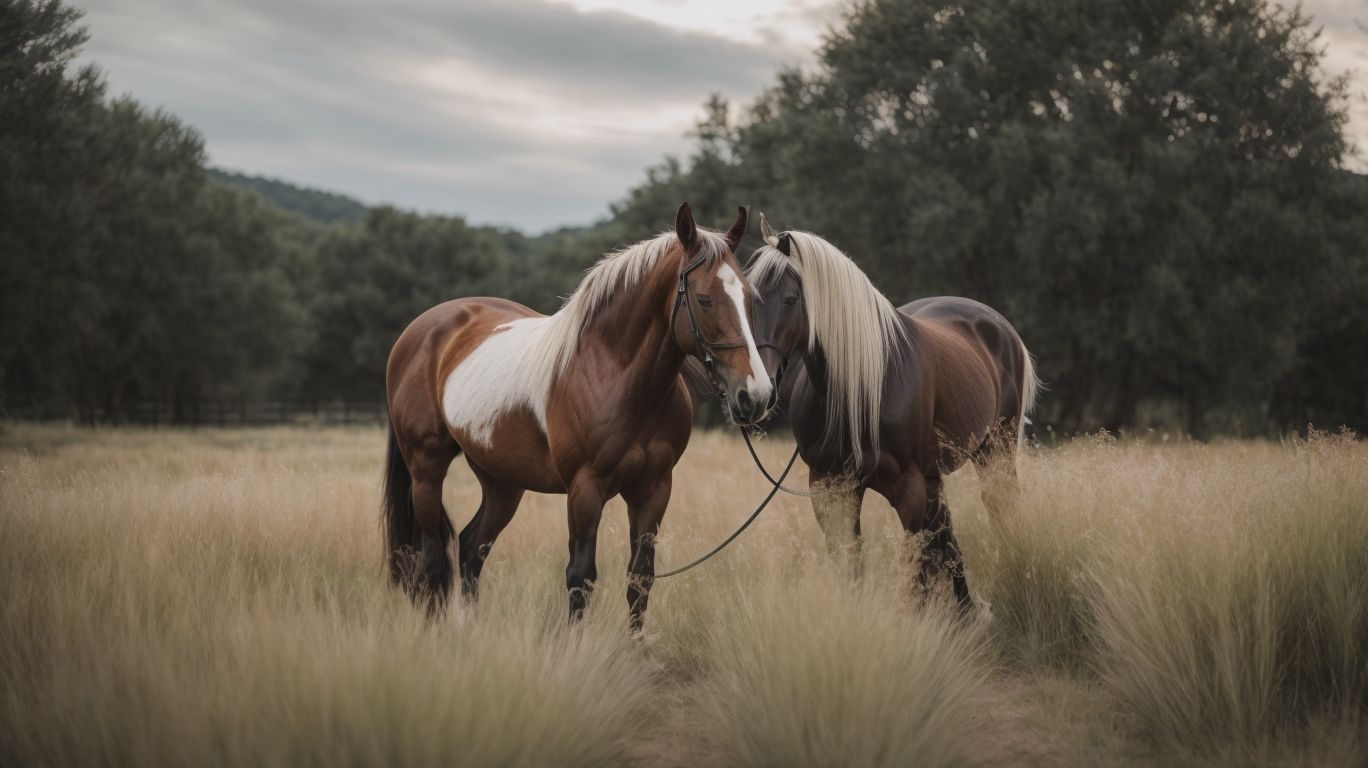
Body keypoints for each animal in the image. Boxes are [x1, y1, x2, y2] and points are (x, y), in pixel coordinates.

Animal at [383, 203, 772, 628]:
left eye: (750, 297)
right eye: (704, 300)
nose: (756, 395)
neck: (614, 373)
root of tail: (421, 330)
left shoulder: (654, 489)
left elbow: (640, 579)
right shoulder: (586, 488)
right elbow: (580, 577)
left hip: (502, 481)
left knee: (472, 547)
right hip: (426, 470)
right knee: (433, 562)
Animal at [746, 214, 1039, 615]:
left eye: (790, 299)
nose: (756, 392)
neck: (859, 391)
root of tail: (998, 325)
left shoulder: (908, 489)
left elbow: (917, 573)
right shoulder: (829, 488)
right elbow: (852, 563)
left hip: (995, 452)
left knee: (997, 510)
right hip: (937, 474)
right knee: (946, 535)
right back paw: (967, 610)